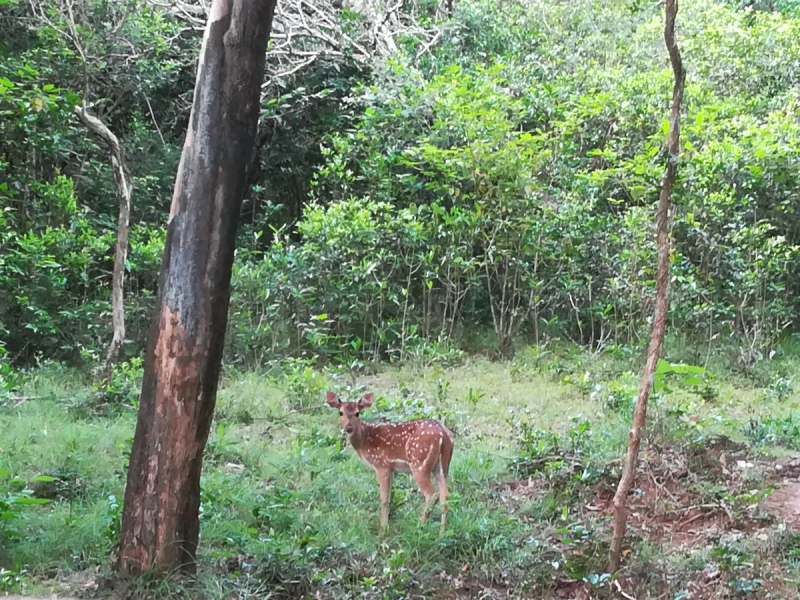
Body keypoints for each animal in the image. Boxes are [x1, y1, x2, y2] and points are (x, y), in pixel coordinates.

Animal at [324, 392, 450, 532]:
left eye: (357, 413)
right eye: (340, 412)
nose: (349, 428)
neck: (364, 440)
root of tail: (443, 435)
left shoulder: (381, 464)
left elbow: (383, 498)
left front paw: (383, 528)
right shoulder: (391, 468)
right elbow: (389, 496)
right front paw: (386, 523)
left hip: (419, 463)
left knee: (431, 495)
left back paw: (419, 525)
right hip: (442, 466)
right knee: (445, 495)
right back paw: (442, 531)